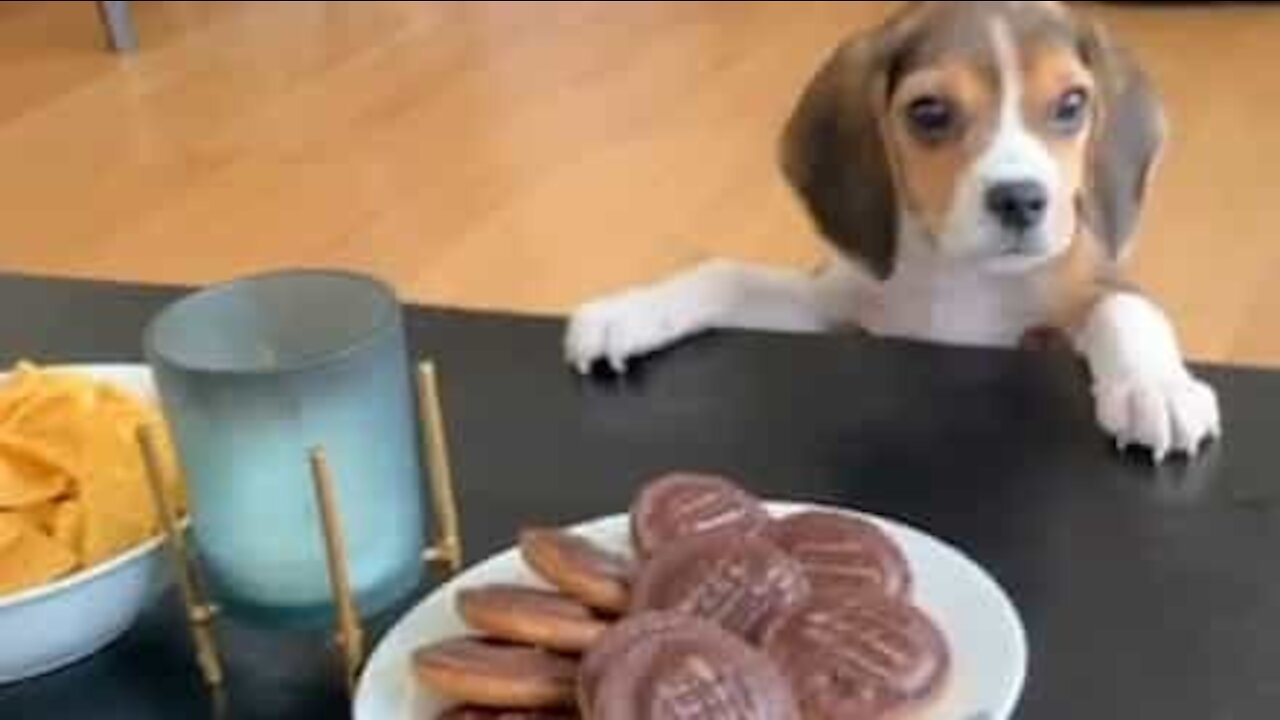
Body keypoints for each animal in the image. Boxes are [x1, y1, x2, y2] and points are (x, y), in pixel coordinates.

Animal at [568, 1, 1218, 458]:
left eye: (1072, 104)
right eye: (929, 112)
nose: (1020, 200)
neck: (958, 274)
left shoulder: (1081, 292)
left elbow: (1126, 309)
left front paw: (1155, 389)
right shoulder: (839, 308)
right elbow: (726, 274)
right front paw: (631, 312)